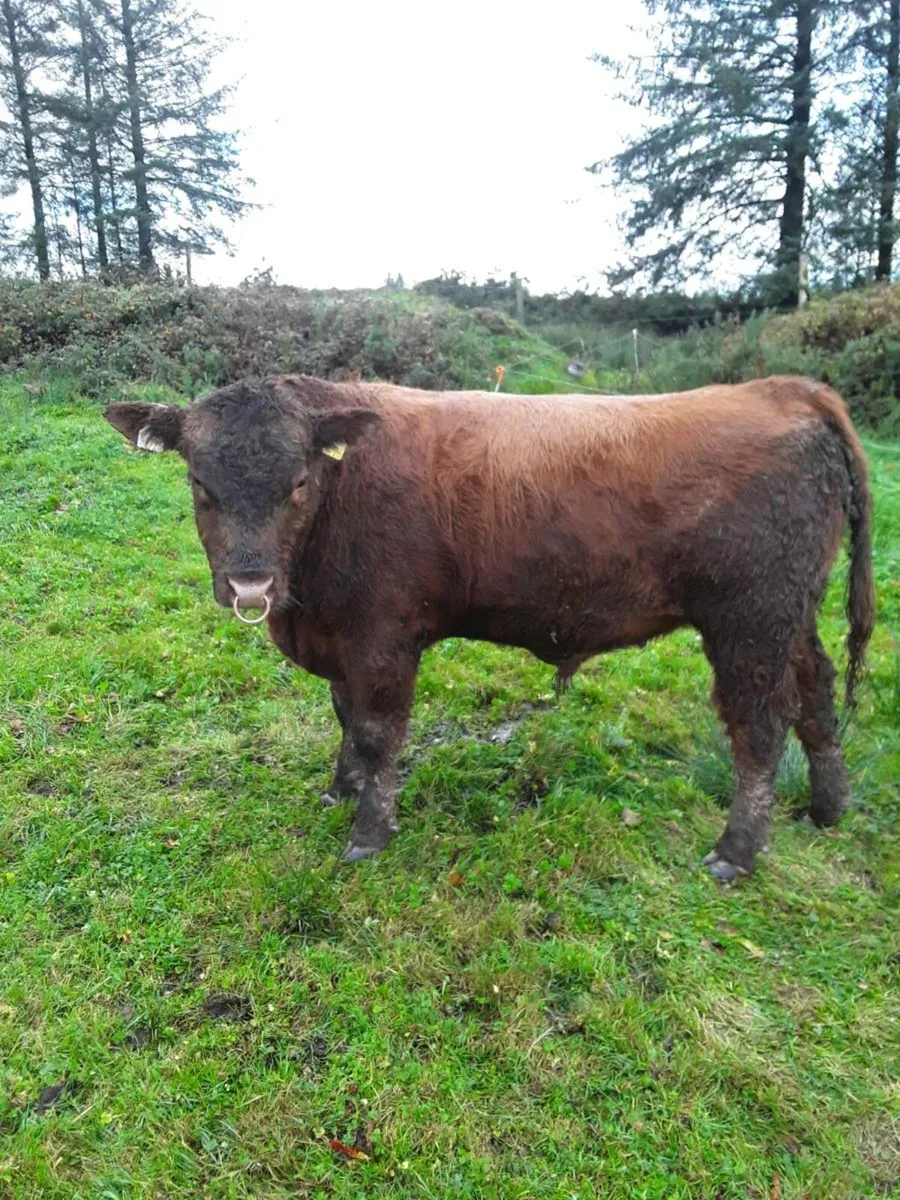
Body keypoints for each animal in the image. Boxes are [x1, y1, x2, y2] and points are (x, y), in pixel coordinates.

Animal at [104, 374, 875, 880]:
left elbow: (377, 731)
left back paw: (736, 852)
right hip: (790, 617)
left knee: (761, 728)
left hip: (751, 623)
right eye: (200, 482)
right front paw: (340, 789)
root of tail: (785, 389)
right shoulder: (342, 639)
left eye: (297, 481)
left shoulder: (383, 637)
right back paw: (828, 807)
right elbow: (345, 719)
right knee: (817, 691)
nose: (250, 584)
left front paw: (369, 831)